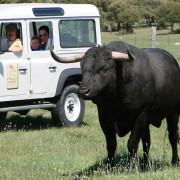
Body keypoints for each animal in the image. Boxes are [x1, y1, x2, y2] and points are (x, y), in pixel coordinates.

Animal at [50, 40, 179, 166]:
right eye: (82, 67)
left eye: (104, 68)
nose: (83, 91)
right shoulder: (103, 117)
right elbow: (111, 144)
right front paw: (109, 167)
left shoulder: (140, 114)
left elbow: (132, 143)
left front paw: (132, 167)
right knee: (147, 141)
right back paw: (145, 164)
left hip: (173, 113)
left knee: (173, 136)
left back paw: (174, 161)